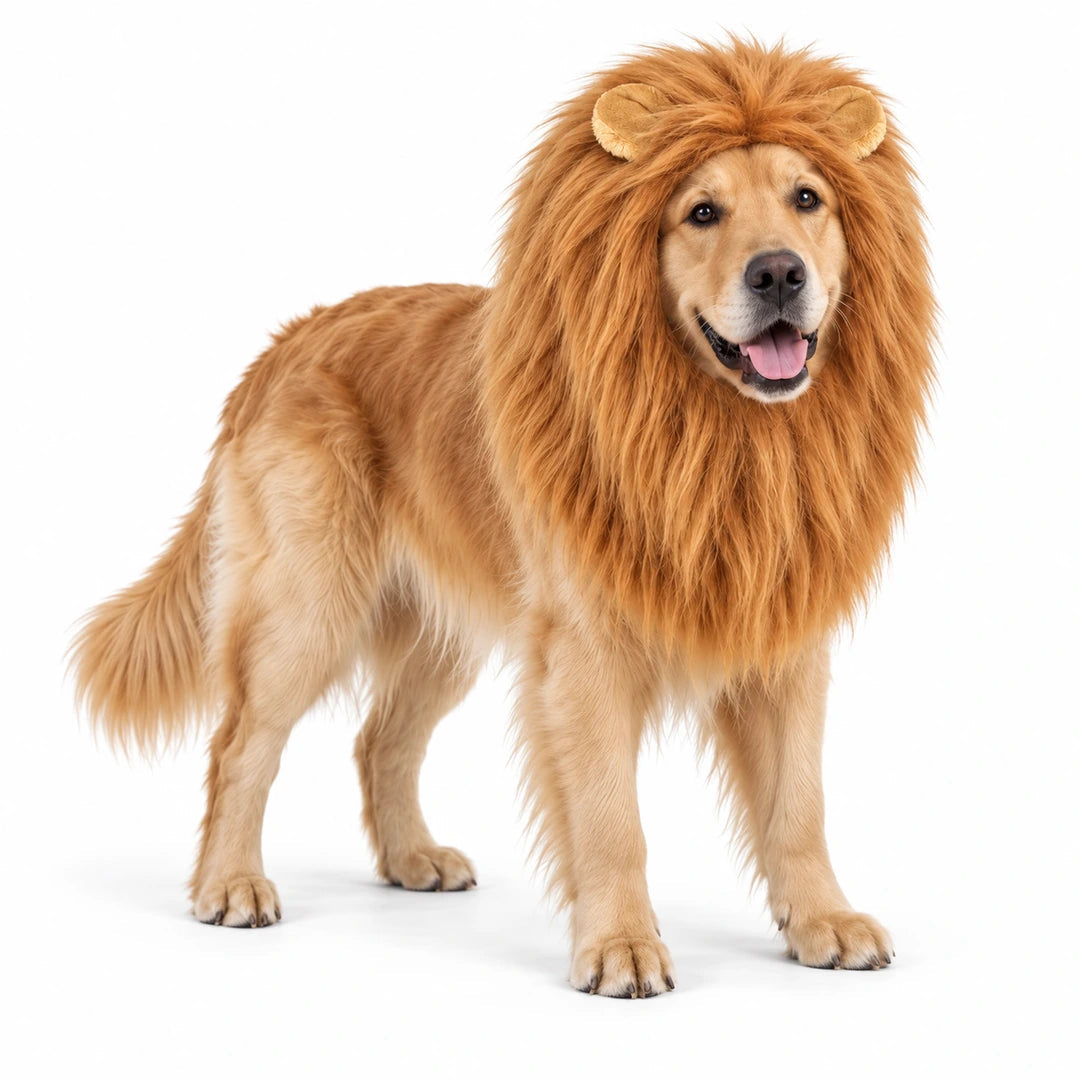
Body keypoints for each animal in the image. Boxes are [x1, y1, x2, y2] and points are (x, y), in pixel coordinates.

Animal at [71, 40, 935, 997]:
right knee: (239, 746)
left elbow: (798, 806)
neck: (725, 435)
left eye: (807, 199)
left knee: (379, 739)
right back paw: (229, 883)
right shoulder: (584, 652)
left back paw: (412, 860)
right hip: (307, 605)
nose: (779, 272)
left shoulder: (784, 641)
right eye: (701, 212)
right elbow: (611, 818)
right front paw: (620, 944)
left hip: (444, 625)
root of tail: (289, 339)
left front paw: (822, 920)